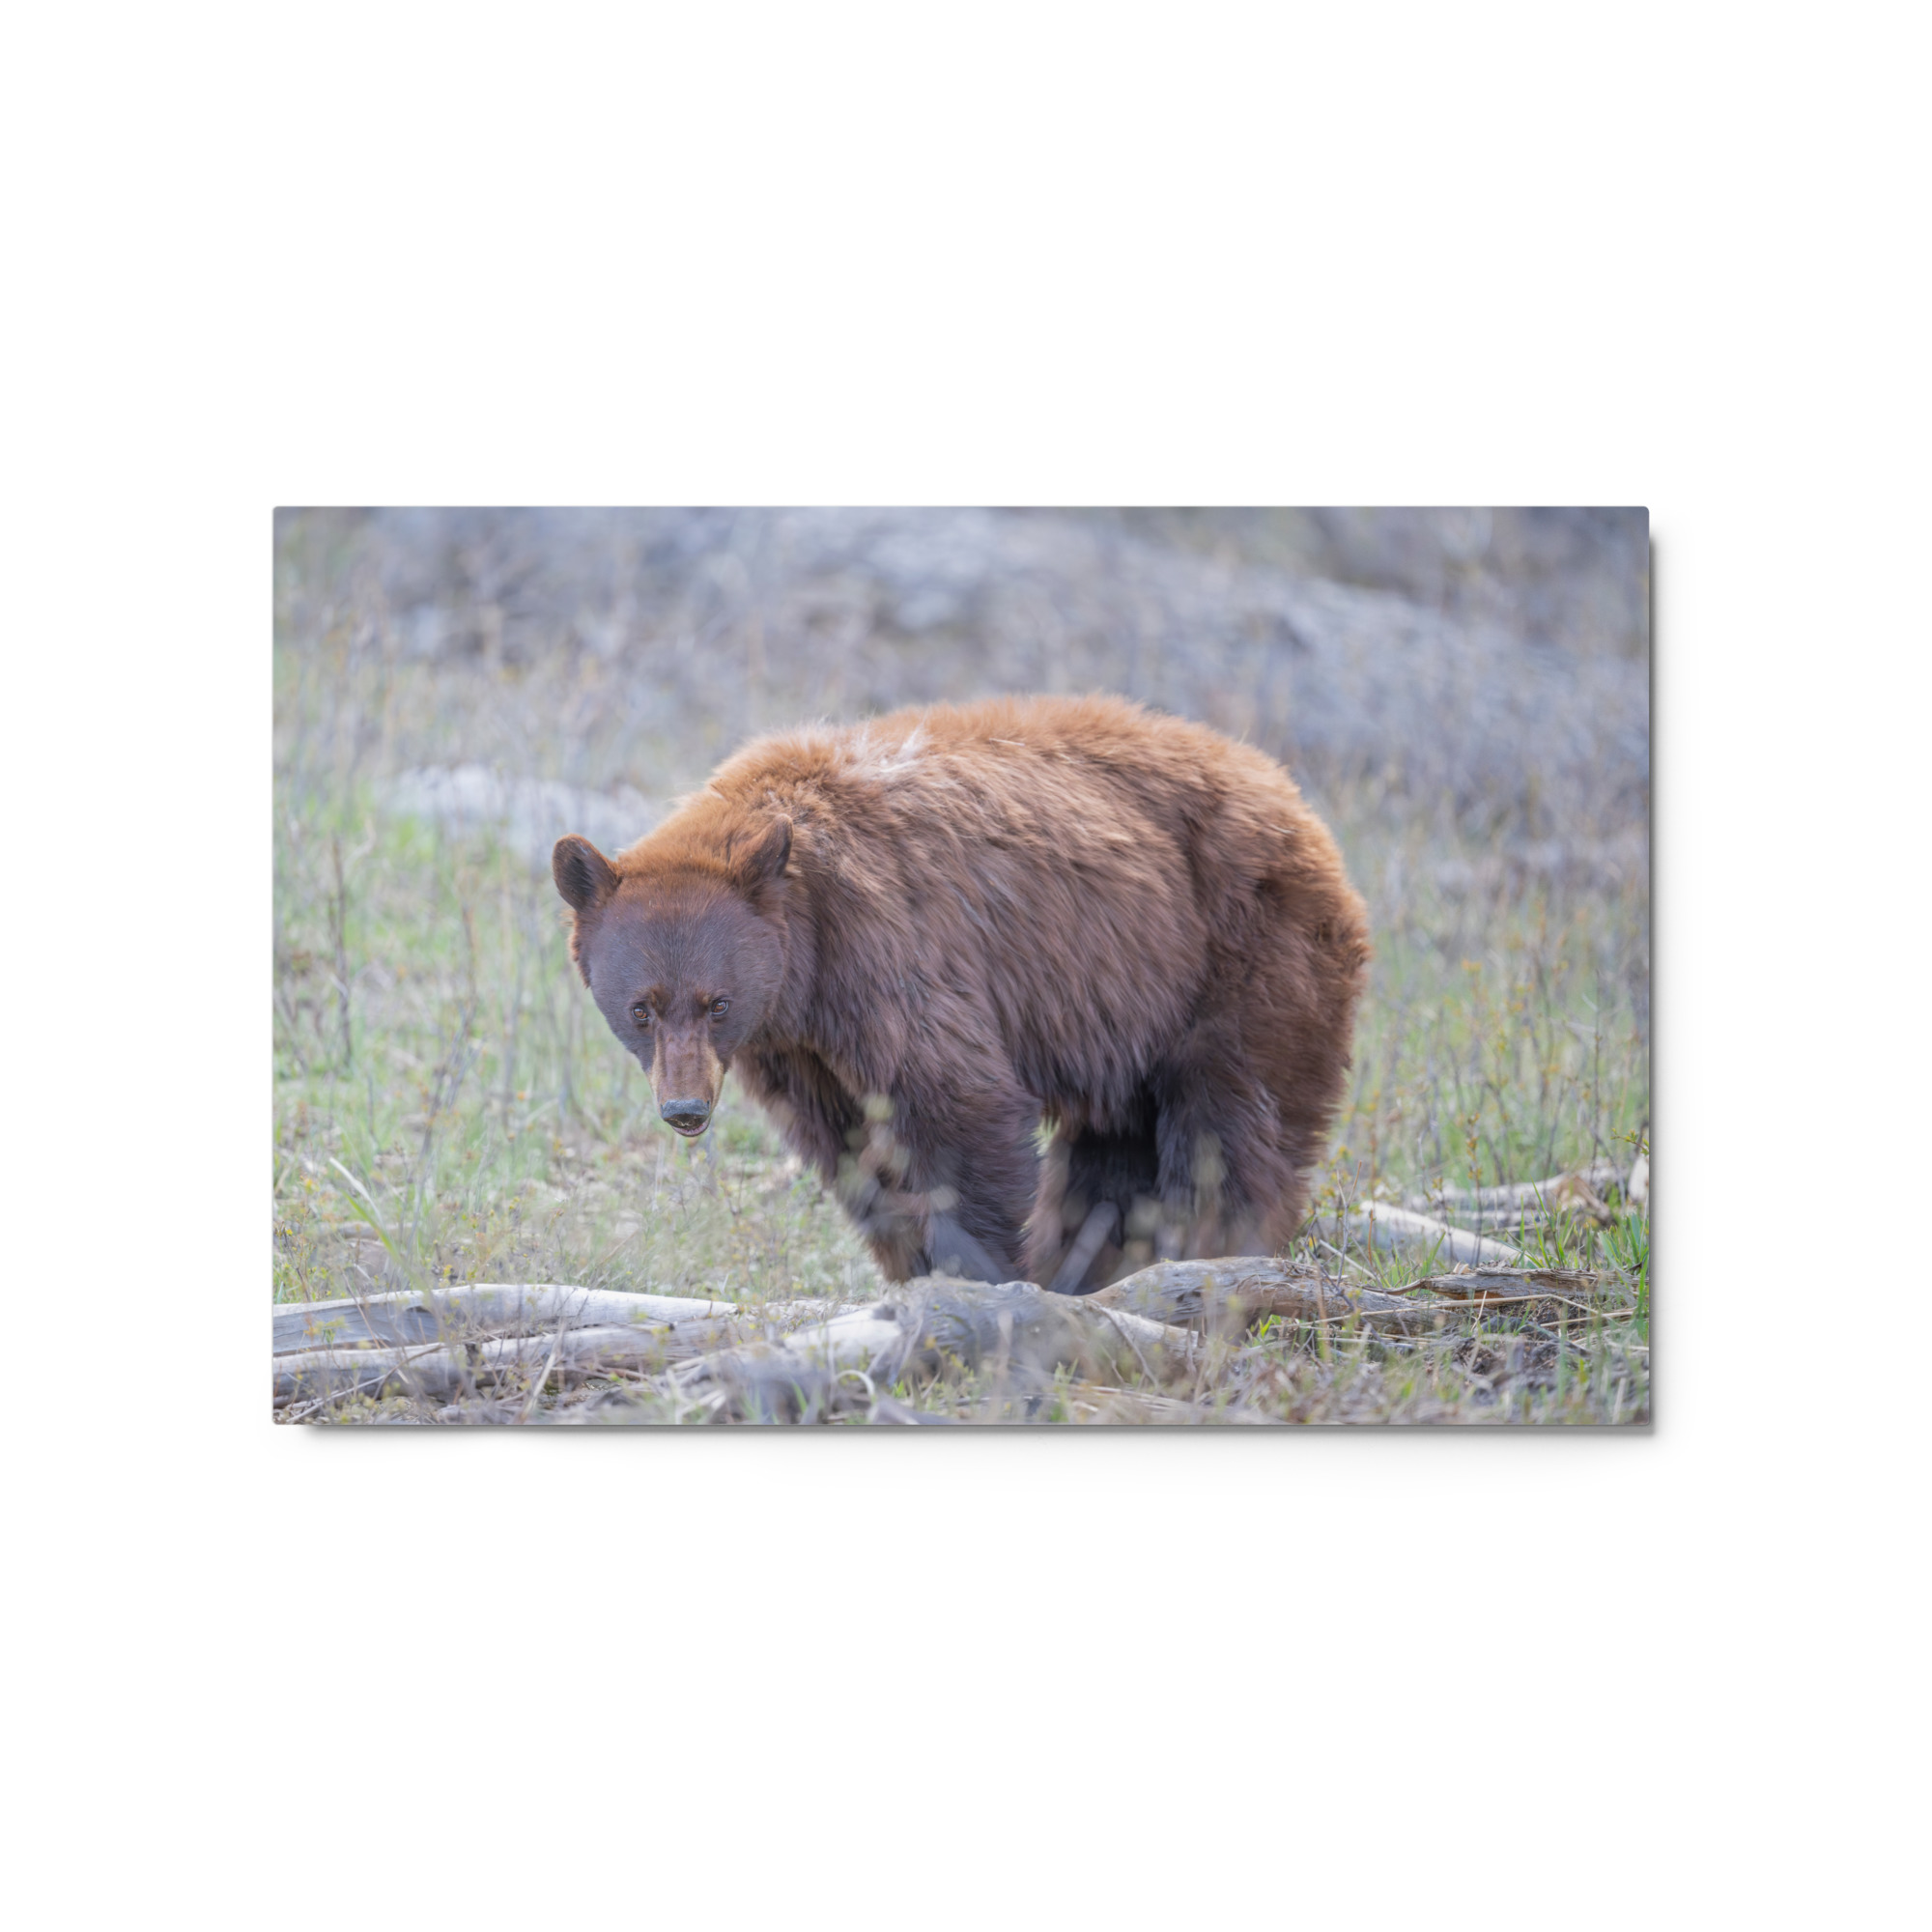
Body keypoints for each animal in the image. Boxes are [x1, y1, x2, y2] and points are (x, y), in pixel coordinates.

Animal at [552, 694, 1370, 1293]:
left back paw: (1209, 1252)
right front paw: (913, 1268)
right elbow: (851, 1147)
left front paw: (979, 1274)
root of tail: (1292, 797)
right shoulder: (798, 1047)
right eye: (642, 1008)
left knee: (1230, 1125)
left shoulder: (890, 951)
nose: (685, 1109)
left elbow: (956, 1106)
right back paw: (1096, 1265)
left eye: (717, 1002)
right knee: (1114, 1150)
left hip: (1241, 954)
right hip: (1132, 1008)